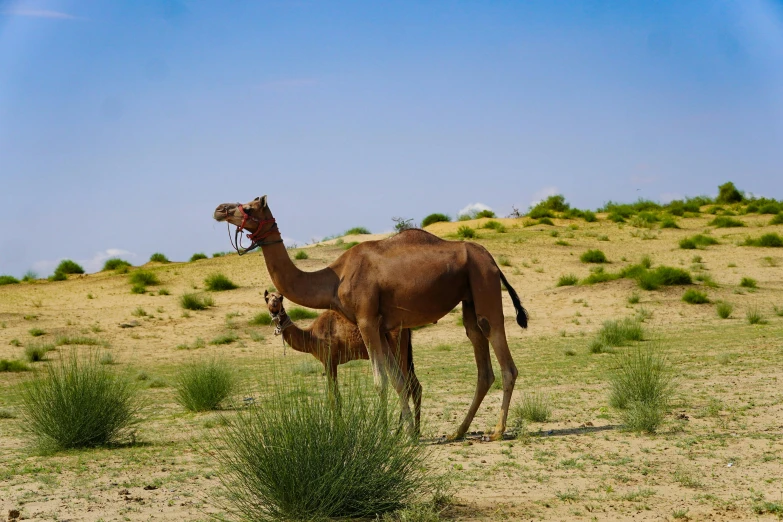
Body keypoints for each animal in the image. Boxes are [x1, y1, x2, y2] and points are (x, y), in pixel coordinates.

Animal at [264, 290, 426, 432]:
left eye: (280, 297)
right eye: (267, 298)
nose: (274, 305)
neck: (310, 336)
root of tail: (406, 328)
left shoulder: (329, 360)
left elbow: (333, 396)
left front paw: (337, 428)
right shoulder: (331, 362)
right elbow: (335, 395)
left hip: (398, 350)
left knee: (406, 385)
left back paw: (403, 431)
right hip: (405, 352)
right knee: (414, 385)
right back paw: (415, 431)